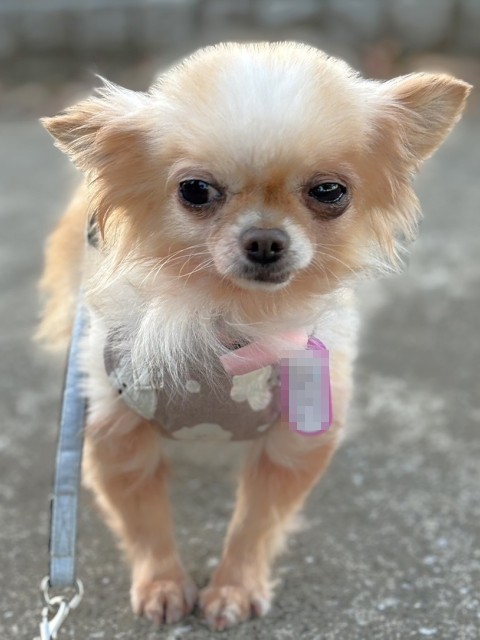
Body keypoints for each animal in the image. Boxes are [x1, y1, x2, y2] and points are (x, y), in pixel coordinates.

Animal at [38, 42, 470, 630]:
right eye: (195, 191)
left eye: (329, 191)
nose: (265, 240)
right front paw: (163, 583)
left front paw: (233, 588)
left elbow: (255, 524)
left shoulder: (295, 438)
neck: (232, 321)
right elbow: (146, 522)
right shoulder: (114, 431)